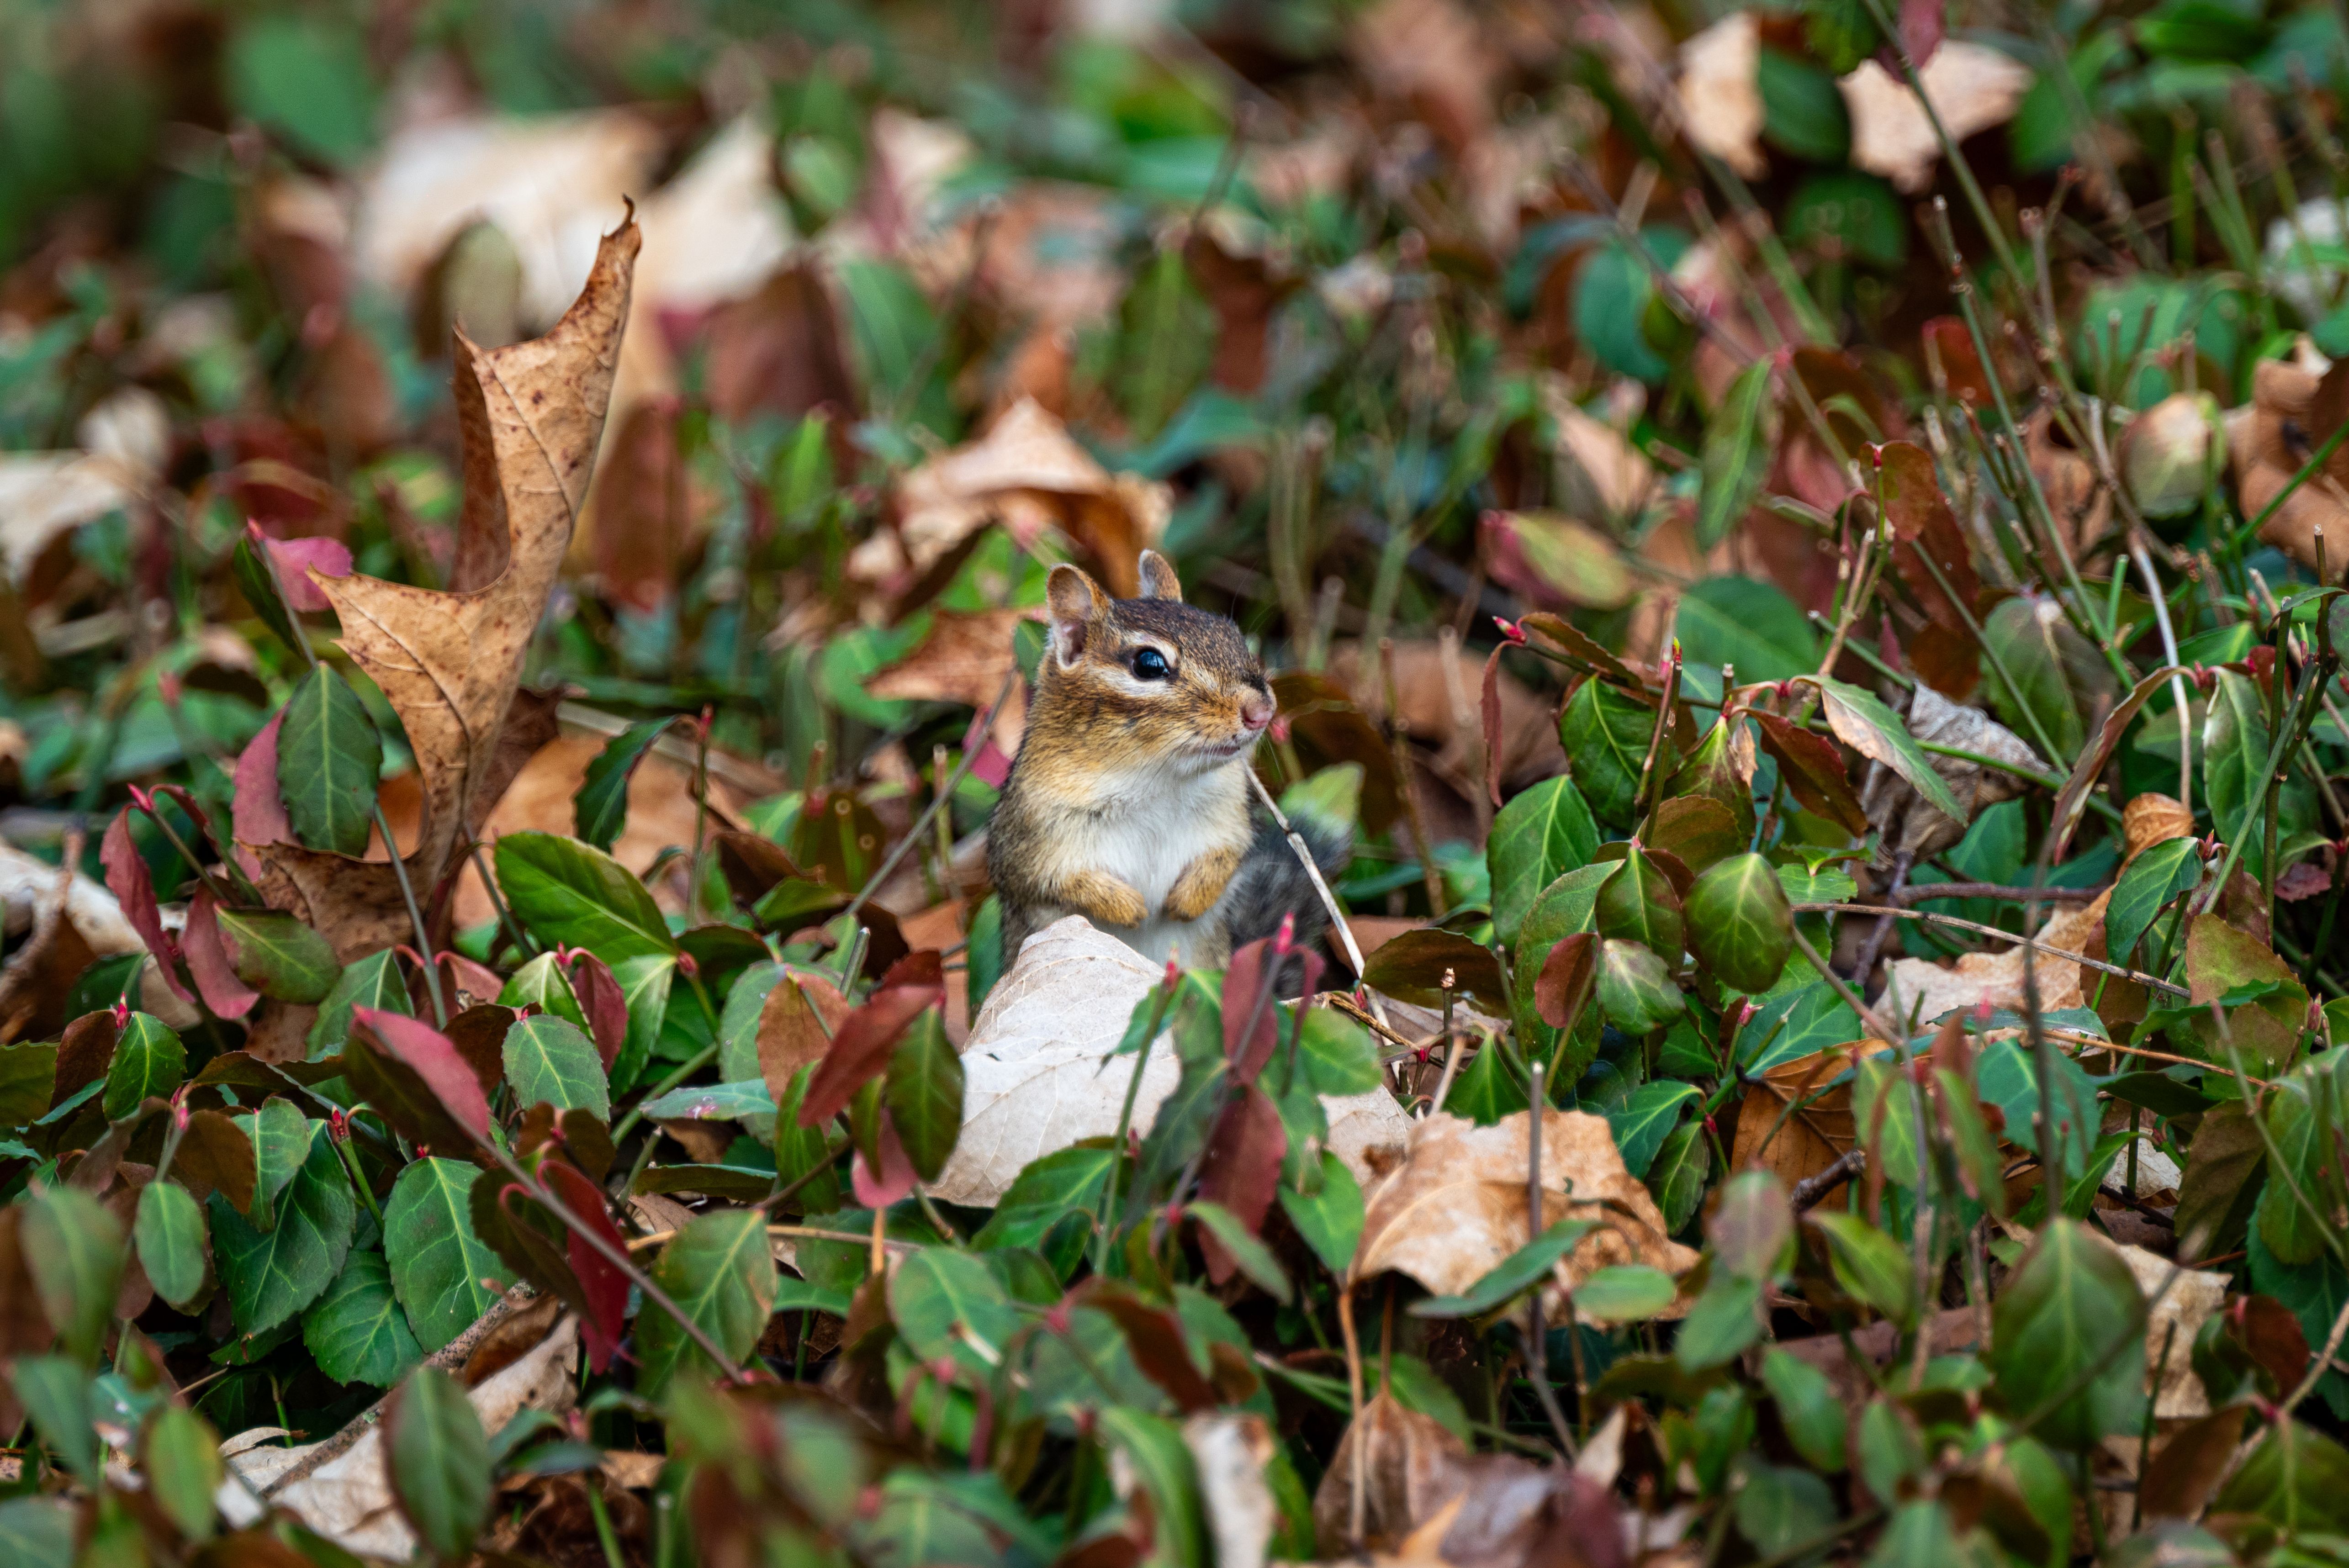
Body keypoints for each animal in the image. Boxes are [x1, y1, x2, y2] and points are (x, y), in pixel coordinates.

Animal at [987, 550, 1347, 972]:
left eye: (1232, 634)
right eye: (1149, 664)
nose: (1262, 711)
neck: (1157, 779)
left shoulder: (1230, 818)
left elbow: (1229, 855)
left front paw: (1186, 900)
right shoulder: (1031, 839)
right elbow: (1053, 881)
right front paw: (1129, 907)